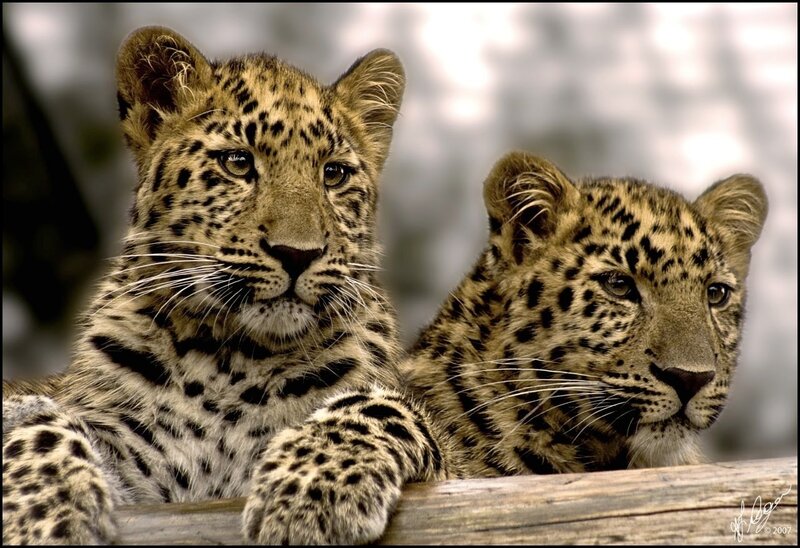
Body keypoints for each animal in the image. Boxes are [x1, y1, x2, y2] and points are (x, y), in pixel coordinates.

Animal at [2, 25, 406, 544]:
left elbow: (380, 407)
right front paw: (47, 514)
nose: (298, 253)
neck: (230, 356)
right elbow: (38, 421)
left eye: (333, 174)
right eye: (238, 163)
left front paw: (314, 495)